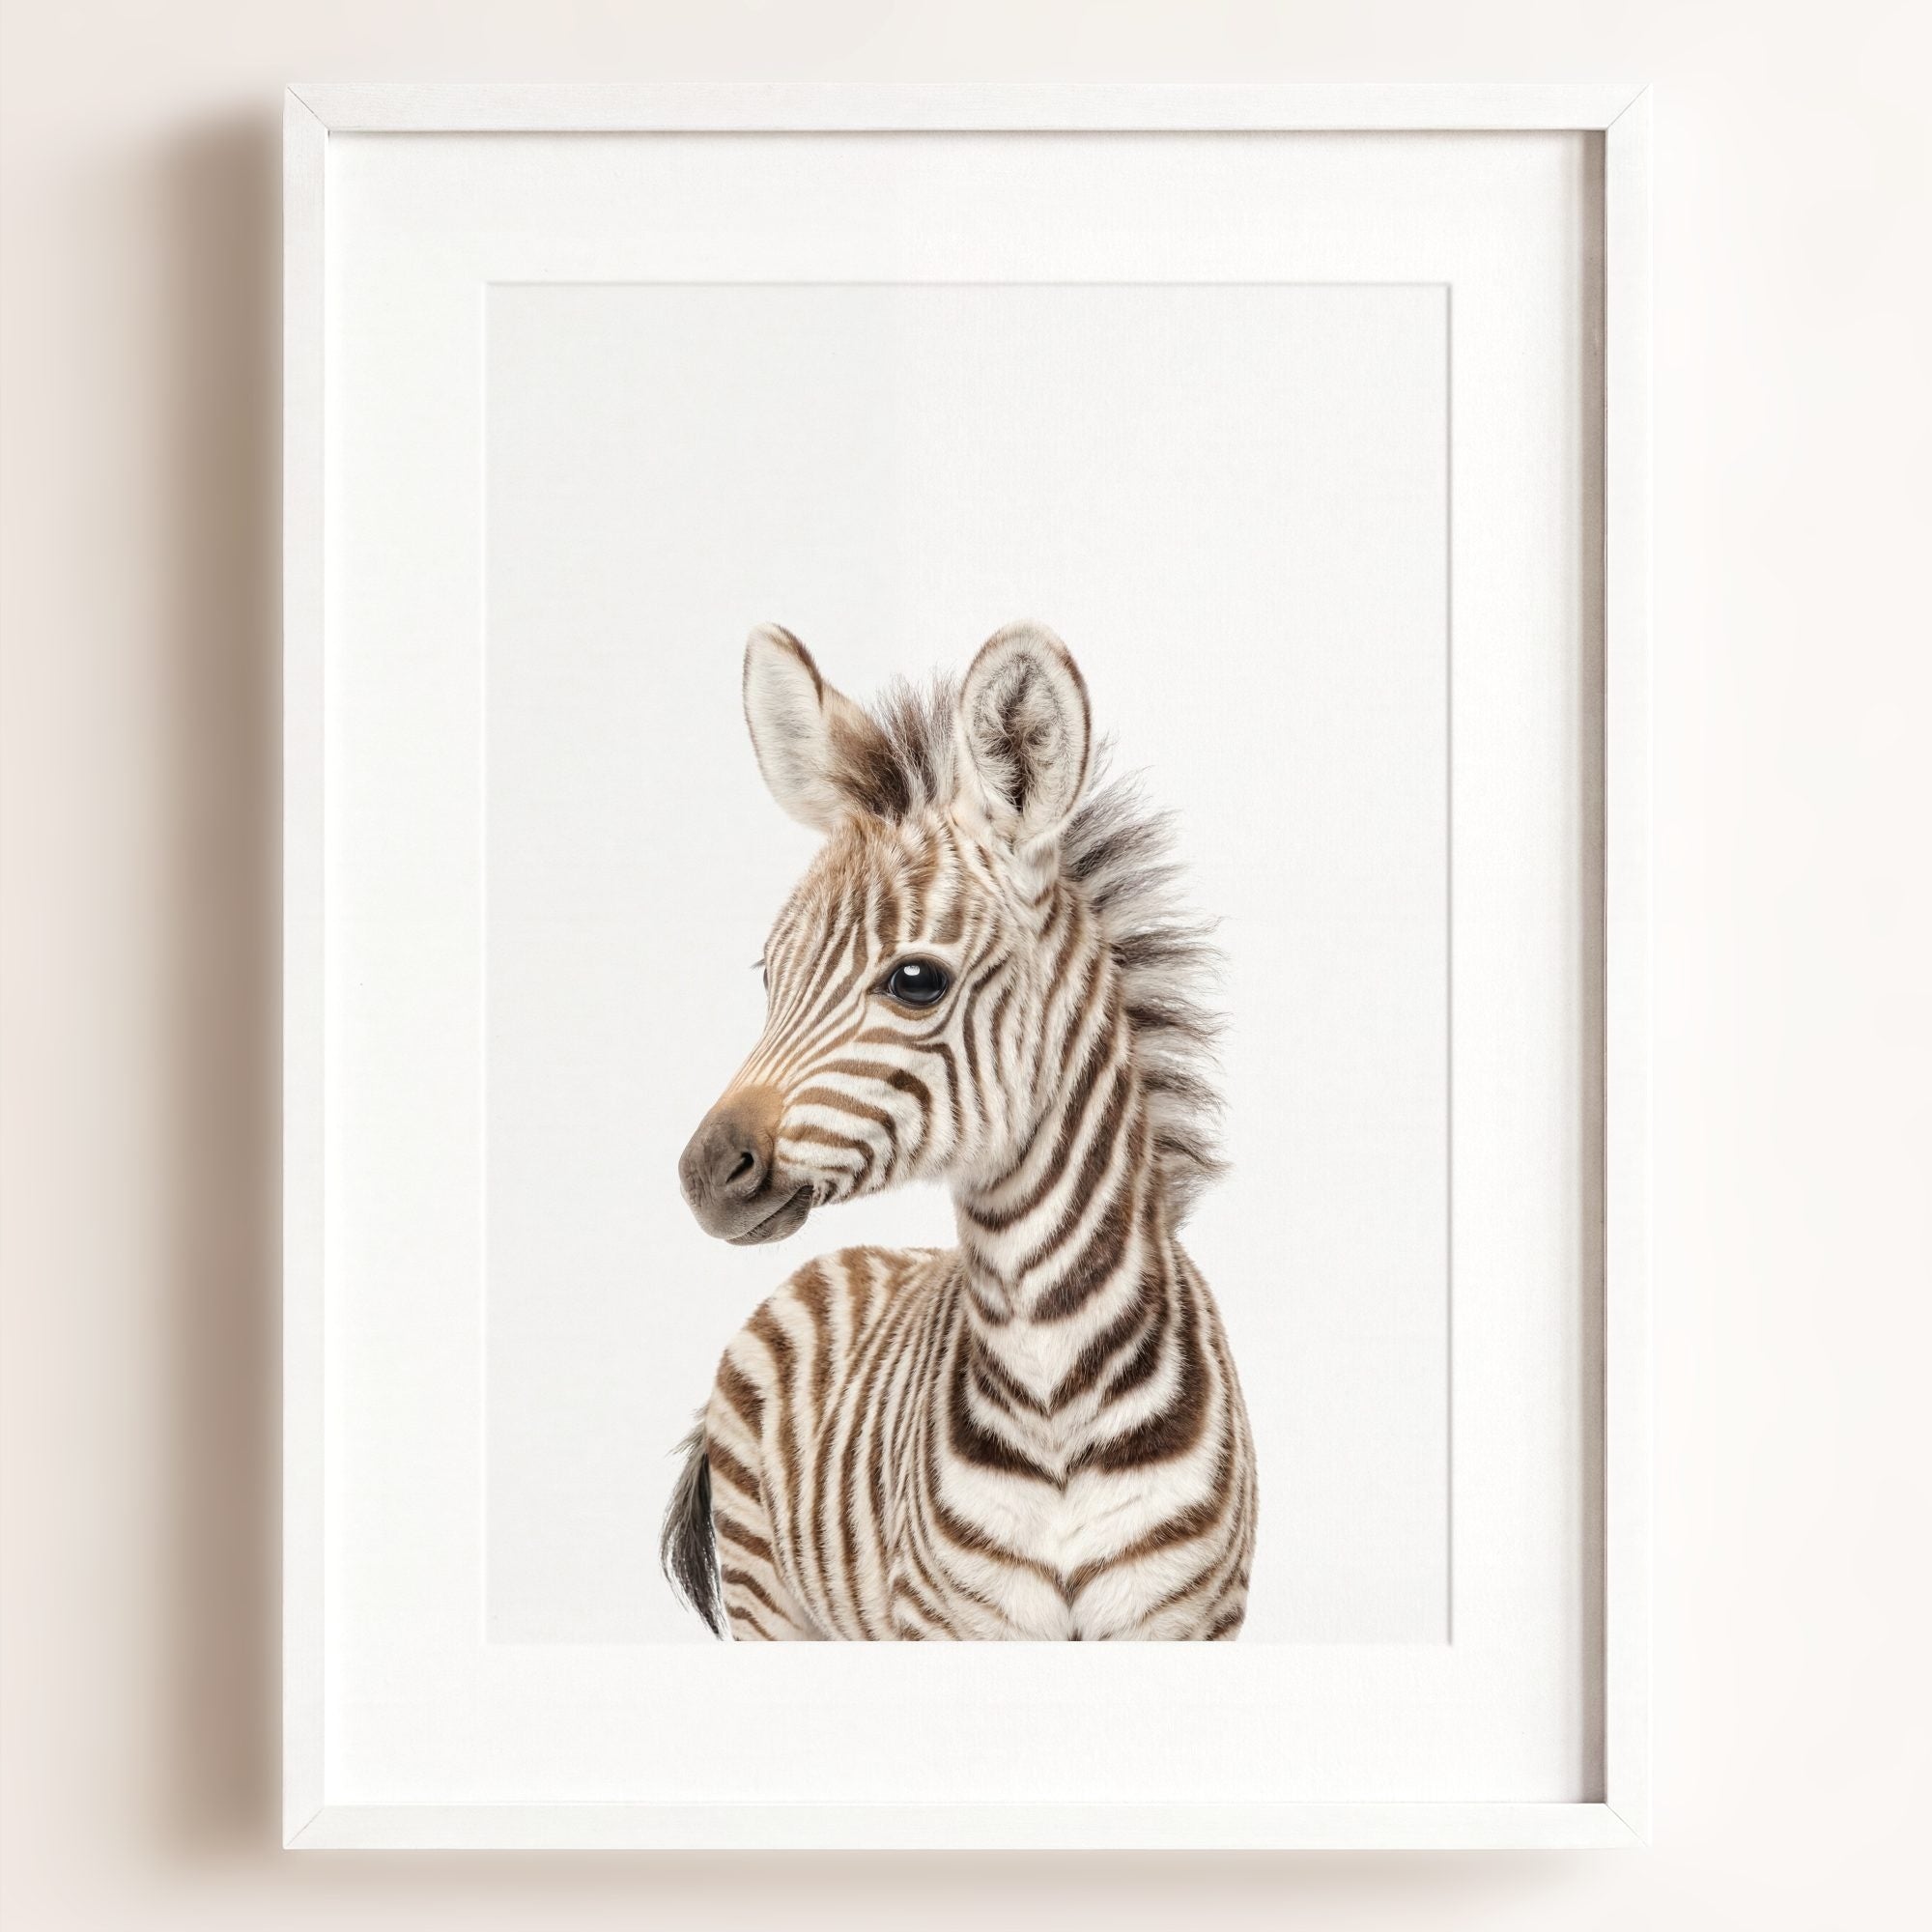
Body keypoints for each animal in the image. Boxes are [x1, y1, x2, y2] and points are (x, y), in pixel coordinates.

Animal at [662, 620, 1257, 1640]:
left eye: (916, 981)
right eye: (770, 975)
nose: (705, 1172)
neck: (1055, 1384)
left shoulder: (1189, 1622)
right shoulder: (950, 1624)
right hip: (768, 1599)